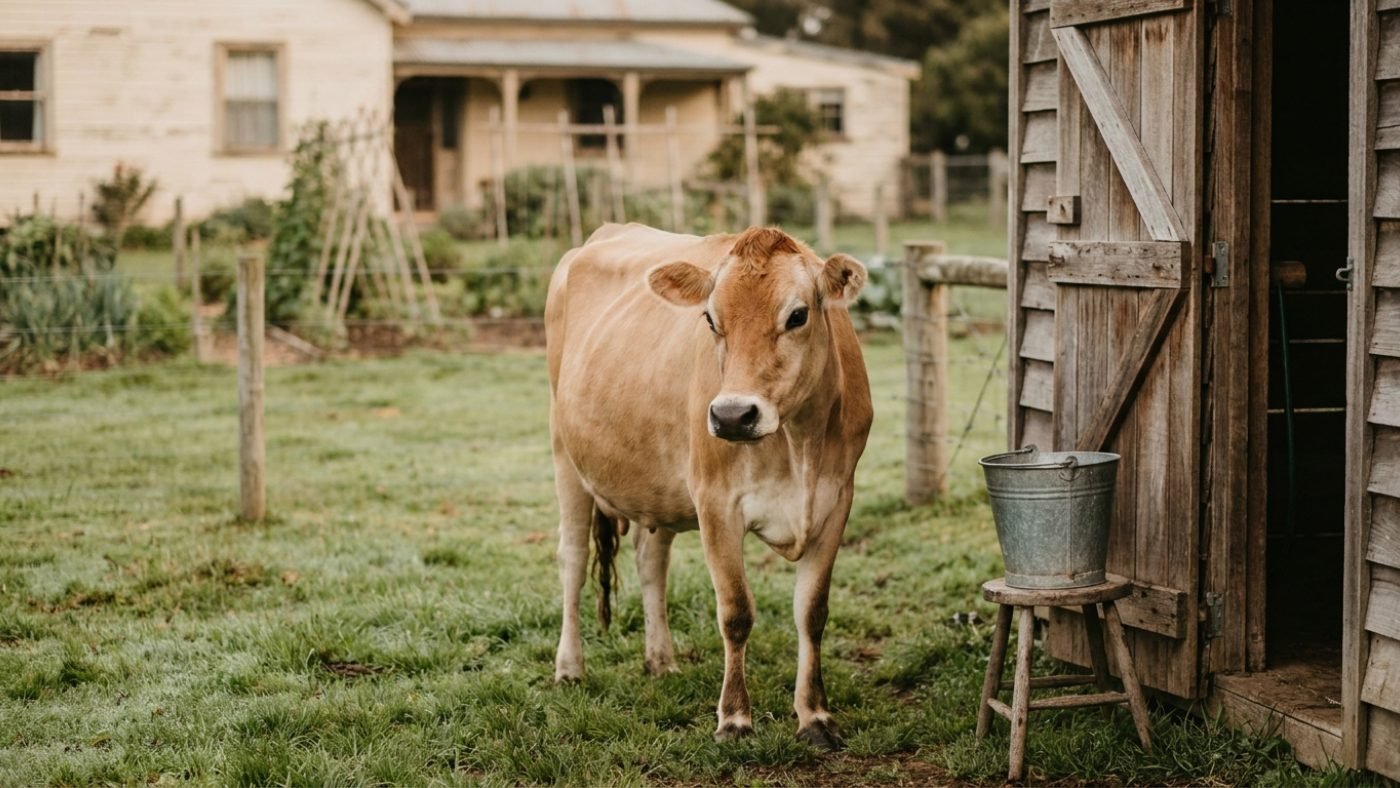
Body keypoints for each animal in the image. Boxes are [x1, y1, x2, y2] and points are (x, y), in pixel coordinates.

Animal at [545, 223, 873, 748]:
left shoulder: (837, 500)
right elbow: (736, 613)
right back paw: (570, 668)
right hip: (566, 456)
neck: (797, 442)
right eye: (710, 318)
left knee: (650, 562)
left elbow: (812, 612)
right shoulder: (717, 504)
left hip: (653, 485)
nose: (733, 415)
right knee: (572, 560)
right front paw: (734, 719)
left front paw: (815, 716)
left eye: (798, 315)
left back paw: (661, 660)